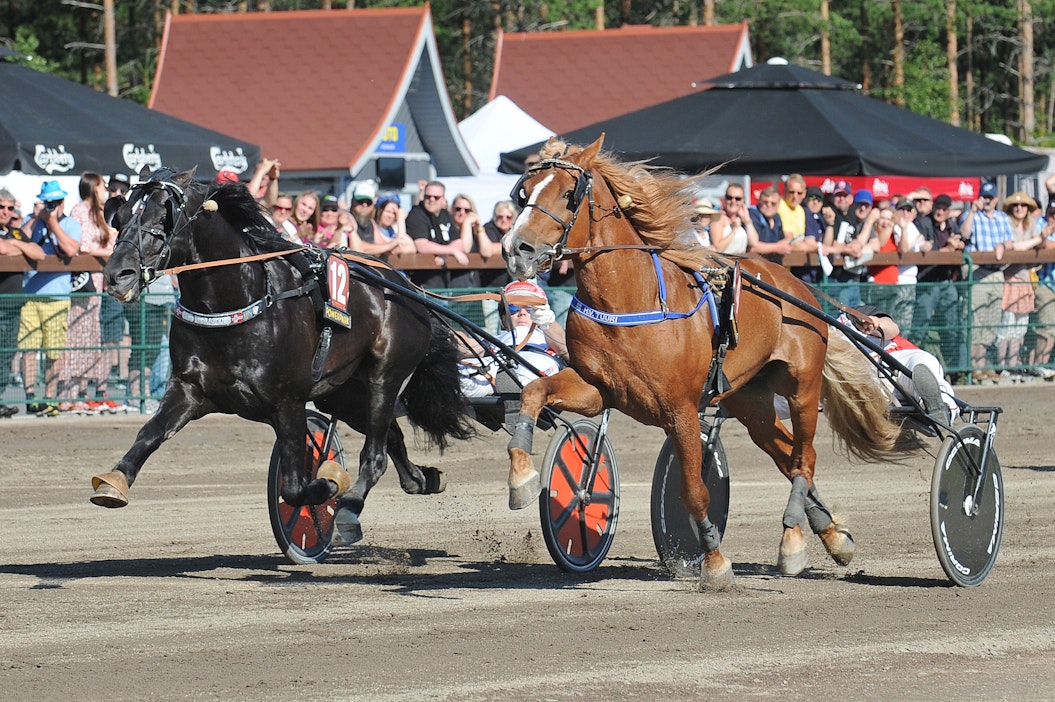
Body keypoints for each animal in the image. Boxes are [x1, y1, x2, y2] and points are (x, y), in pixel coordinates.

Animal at [94, 168, 474, 548]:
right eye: (120, 216)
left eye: (163, 218)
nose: (117, 275)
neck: (236, 302)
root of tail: (405, 284)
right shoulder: (189, 390)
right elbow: (149, 434)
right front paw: (115, 481)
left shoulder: (288, 402)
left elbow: (294, 487)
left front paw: (329, 484)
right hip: (346, 393)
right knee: (391, 437)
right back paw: (422, 478)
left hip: (386, 376)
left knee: (376, 453)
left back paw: (350, 507)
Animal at [502, 134, 898, 586]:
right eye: (523, 192)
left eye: (570, 193)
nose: (516, 249)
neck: (630, 298)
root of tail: (795, 285)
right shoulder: (597, 389)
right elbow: (535, 391)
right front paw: (522, 475)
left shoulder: (681, 410)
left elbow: (694, 490)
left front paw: (715, 561)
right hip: (750, 400)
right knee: (785, 455)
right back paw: (831, 536)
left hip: (802, 387)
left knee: (804, 459)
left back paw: (792, 541)